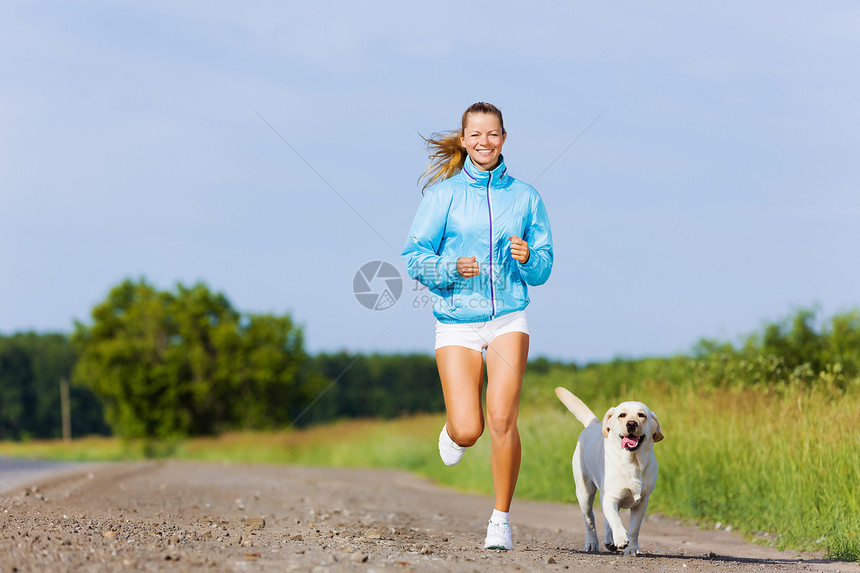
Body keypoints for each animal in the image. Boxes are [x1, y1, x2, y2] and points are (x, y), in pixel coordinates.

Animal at [556, 384, 660, 556]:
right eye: (622, 415)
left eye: (641, 415)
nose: (632, 424)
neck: (632, 463)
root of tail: (593, 424)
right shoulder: (610, 496)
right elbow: (615, 520)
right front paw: (621, 539)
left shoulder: (642, 502)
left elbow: (634, 528)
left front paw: (632, 548)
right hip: (584, 494)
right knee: (590, 521)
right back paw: (592, 543)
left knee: (606, 519)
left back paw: (609, 541)